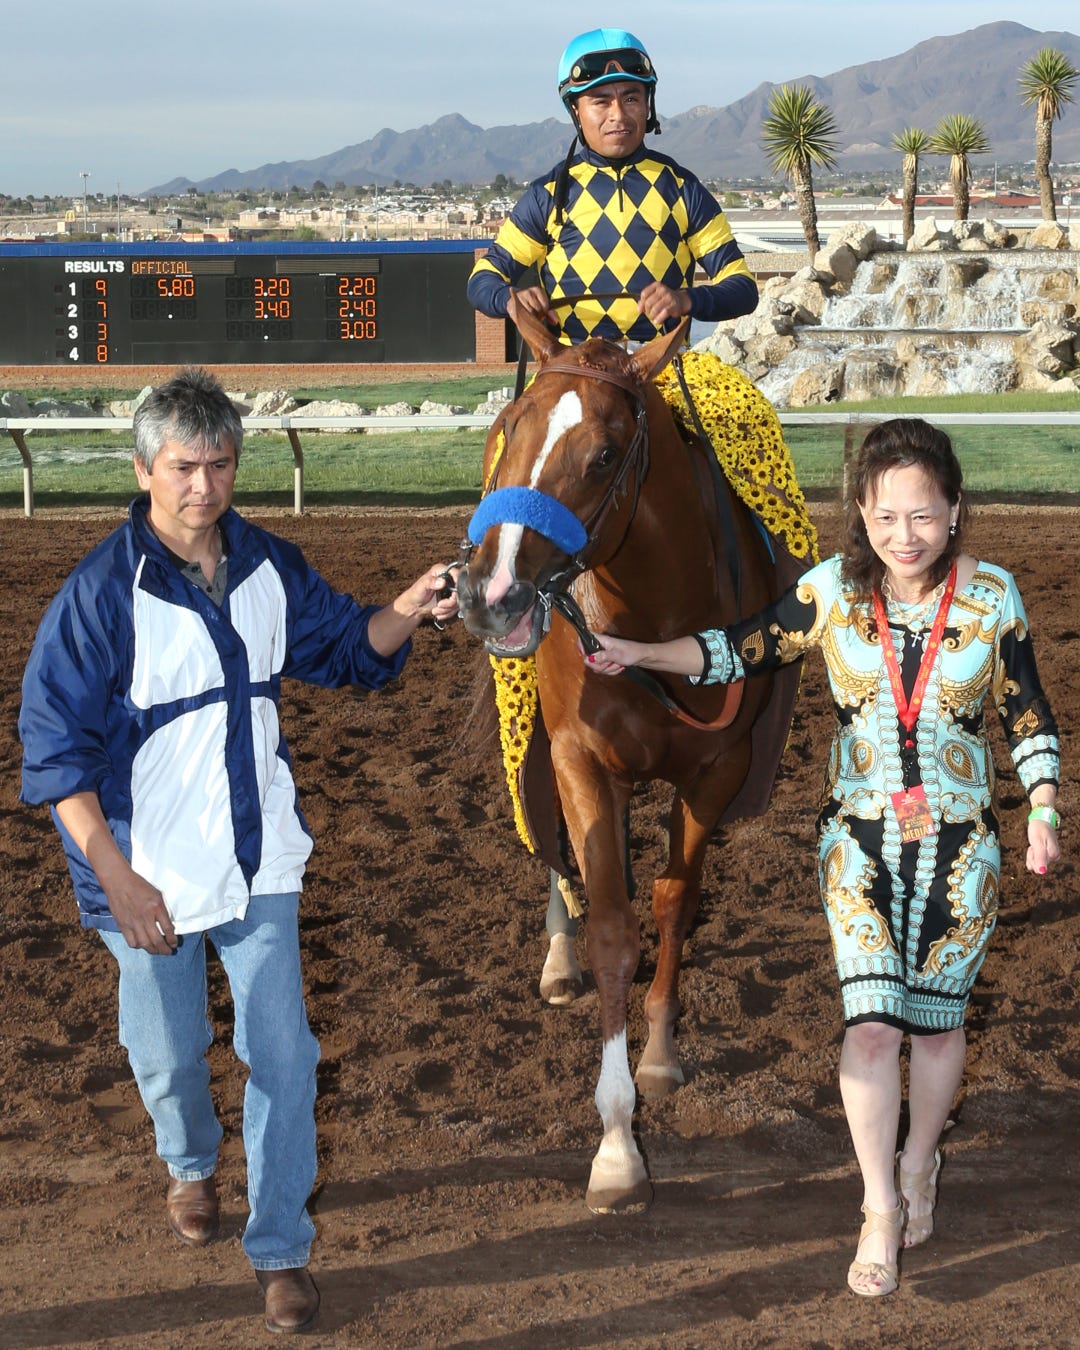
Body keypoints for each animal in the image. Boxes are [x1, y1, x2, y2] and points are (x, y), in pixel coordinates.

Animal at [457, 306, 804, 1213]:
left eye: (606, 454)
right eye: (512, 428)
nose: (491, 594)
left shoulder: (719, 770)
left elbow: (674, 900)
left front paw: (661, 1051)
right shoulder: (581, 757)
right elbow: (612, 922)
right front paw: (617, 1146)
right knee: (553, 850)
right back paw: (557, 958)